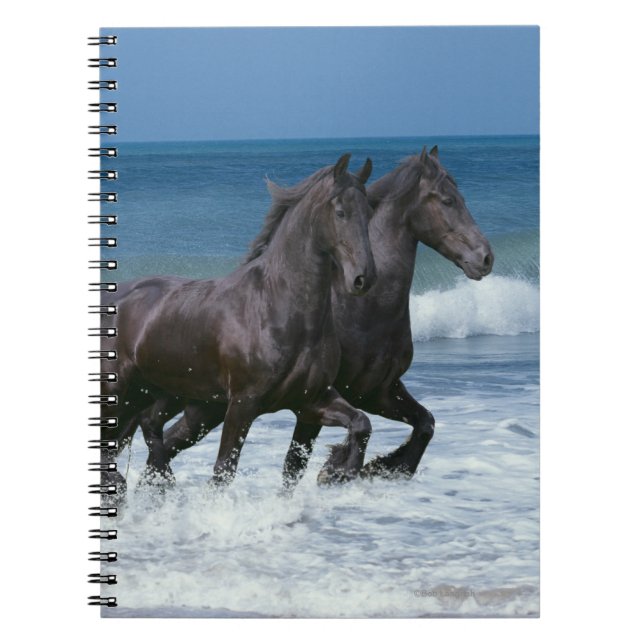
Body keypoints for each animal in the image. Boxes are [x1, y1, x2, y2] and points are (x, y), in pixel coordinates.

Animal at [100, 153, 377, 495]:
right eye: (340, 212)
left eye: (369, 212)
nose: (363, 278)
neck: (277, 309)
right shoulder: (244, 403)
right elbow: (224, 471)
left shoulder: (310, 401)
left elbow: (355, 426)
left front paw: (339, 471)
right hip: (124, 395)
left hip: (171, 399)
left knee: (150, 431)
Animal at [151, 145, 493, 488]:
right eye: (447, 200)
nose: (485, 258)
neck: (367, 311)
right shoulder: (318, 405)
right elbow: (295, 465)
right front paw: (336, 469)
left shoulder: (379, 392)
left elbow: (425, 423)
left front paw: (379, 466)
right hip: (203, 409)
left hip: (206, 408)